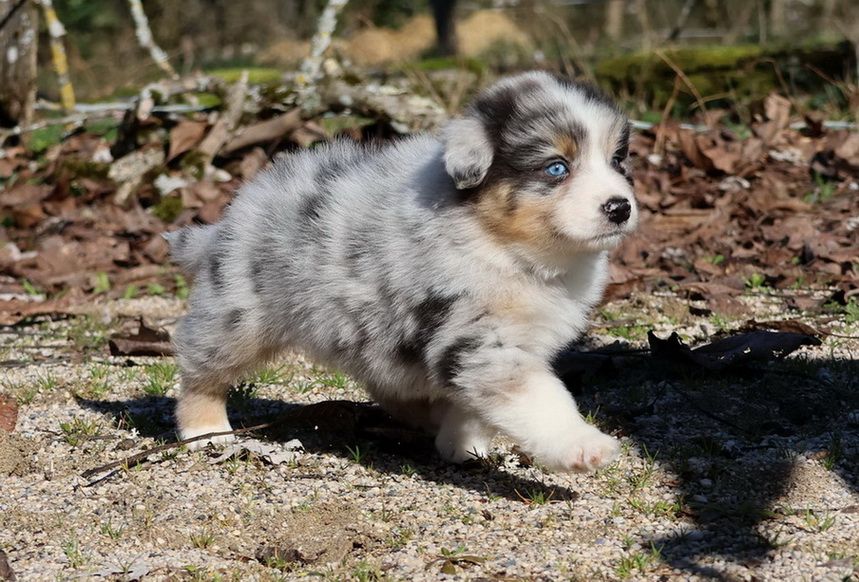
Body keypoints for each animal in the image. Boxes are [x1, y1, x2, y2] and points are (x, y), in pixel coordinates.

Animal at [166, 71, 637, 472]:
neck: (503, 246)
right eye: (556, 167)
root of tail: (229, 218)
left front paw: (463, 444)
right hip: (239, 314)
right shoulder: (479, 339)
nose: (620, 207)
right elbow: (539, 397)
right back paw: (206, 429)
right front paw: (583, 445)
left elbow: (472, 402)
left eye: (618, 161)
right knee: (200, 368)